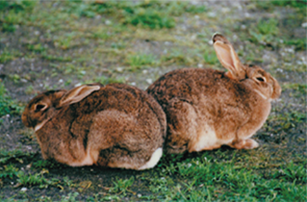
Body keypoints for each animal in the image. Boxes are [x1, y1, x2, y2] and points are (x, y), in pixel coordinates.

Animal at [147, 34, 282, 154]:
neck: (249, 87)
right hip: (186, 117)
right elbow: (236, 142)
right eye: (260, 79)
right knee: (191, 148)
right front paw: (251, 144)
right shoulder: (237, 130)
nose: (278, 91)